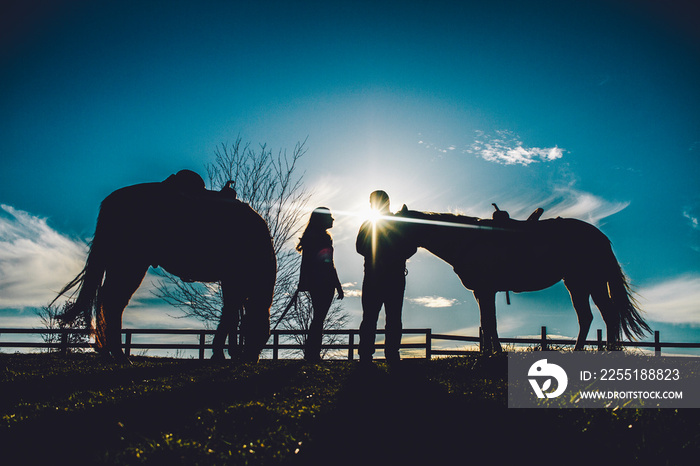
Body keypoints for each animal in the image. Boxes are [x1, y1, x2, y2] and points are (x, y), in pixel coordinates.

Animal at [53, 172, 276, 364]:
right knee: (113, 302)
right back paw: (118, 355)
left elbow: (232, 315)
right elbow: (230, 314)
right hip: (130, 264)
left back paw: (107, 352)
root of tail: (114, 199)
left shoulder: (231, 282)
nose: (252, 359)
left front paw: (228, 352)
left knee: (106, 301)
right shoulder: (233, 279)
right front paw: (221, 354)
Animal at [394, 206, 652, 352]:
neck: (466, 239)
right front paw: (488, 354)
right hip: (582, 284)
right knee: (596, 317)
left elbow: (490, 324)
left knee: (602, 316)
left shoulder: (486, 290)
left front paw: (495, 355)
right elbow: (486, 324)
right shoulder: (481, 292)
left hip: (586, 283)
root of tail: (600, 237)